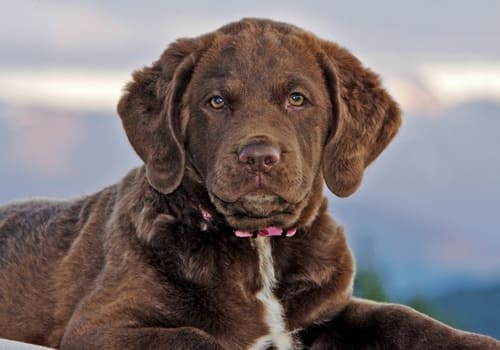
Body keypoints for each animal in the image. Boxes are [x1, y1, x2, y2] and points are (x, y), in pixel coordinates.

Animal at [0, 19, 500, 350]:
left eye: (297, 99)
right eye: (217, 102)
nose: (259, 157)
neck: (258, 247)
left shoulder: (328, 310)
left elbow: (402, 317)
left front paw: (474, 341)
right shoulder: (103, 325)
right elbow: (197, 339)